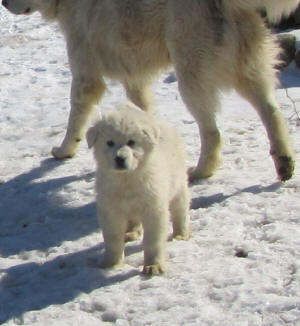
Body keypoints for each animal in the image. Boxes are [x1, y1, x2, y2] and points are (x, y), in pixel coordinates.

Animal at [2, 0, 298, 181]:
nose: (4, 2)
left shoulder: (86, 72)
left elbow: (76, 116)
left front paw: (64, 151)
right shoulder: (134, 77)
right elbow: (141, 111)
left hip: (191, 75)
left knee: (212, 132)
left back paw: (201, 171)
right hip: (249, 69)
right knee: (272, 112)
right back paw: (284, 163)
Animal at [86, 102, 190, 276]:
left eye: (131, 142)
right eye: (110, 142)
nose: (120, 158)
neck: (127, 178)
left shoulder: (154, 208)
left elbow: (153, 240)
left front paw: (153, 266)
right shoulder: (110, 208)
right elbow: (112, 237)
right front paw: (112, 263)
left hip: (178, 184)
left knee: (179, 209)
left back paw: (181, 234)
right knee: (133, 219)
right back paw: (131, 232)